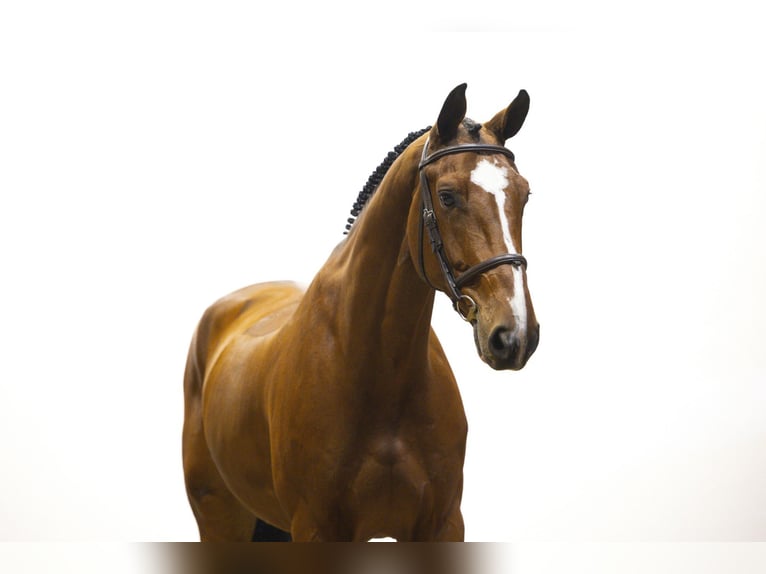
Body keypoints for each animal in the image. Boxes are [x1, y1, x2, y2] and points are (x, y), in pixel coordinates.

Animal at [182, 83, 540, 542]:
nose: (515, 334)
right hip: (220, 517)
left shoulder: (442, 524)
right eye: (447, 197)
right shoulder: (316, 528)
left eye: (524, 195)